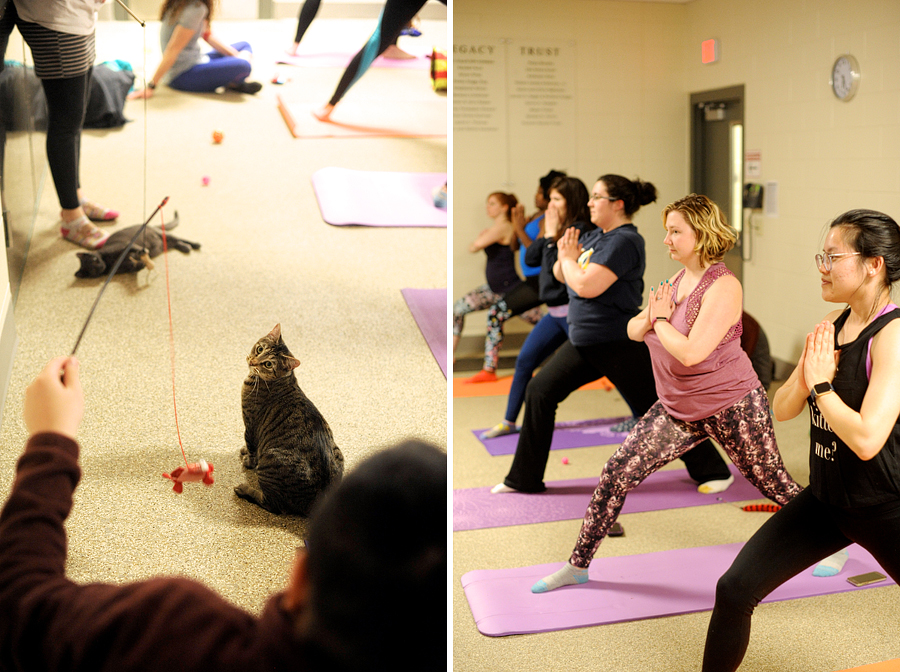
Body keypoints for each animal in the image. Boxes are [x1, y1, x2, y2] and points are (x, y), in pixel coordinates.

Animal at [236, 322, 344, 516]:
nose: (252, 361)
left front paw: (247, 459)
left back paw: (244, 490)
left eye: (268, 364)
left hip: (269, 461)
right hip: (338, 452)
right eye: (260, 348)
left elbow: (250, 446)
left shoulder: (250, 424)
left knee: (273, 506)